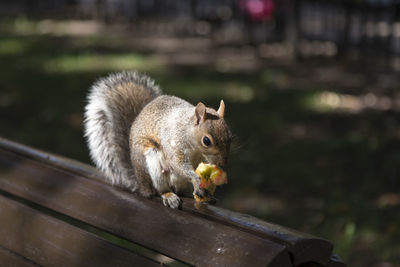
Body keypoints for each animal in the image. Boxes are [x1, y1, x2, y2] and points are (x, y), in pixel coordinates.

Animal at [85, 71, 233, 209]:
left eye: (230, 137)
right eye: (206, 141)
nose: (222, 162)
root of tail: (141, 185)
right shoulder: (173, 141)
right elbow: (177, 163)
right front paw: (196, 180)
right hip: (151, 161)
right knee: (159, 190)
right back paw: (168, 195)